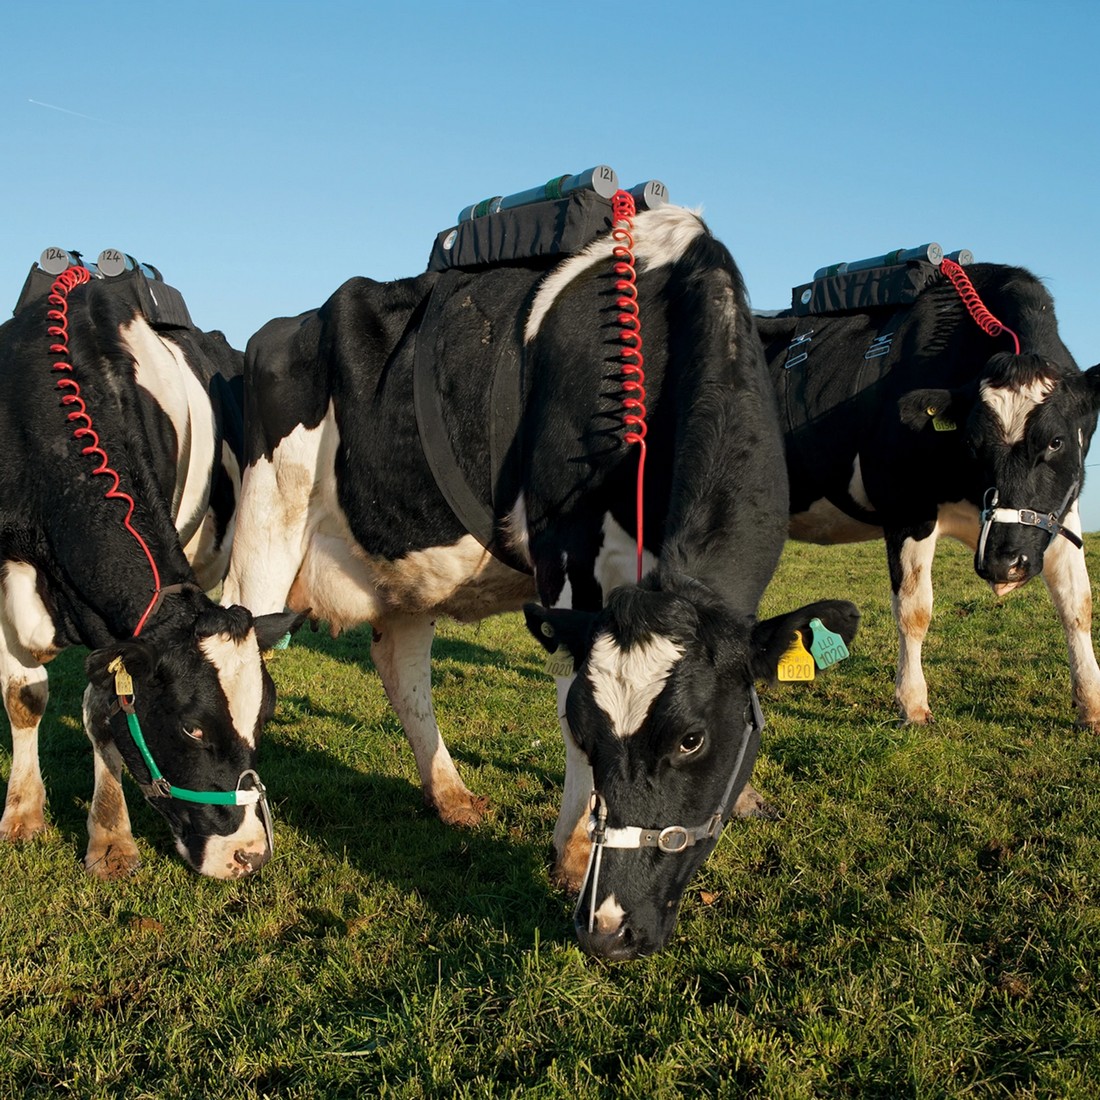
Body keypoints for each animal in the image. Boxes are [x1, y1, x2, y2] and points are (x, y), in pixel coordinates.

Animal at [0, 264, 299, 879]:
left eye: (264, 718)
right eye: (190, 726)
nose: (249, 855)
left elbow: (102, 710)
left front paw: (111, 839)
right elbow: (24, 696)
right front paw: (22, 814)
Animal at [223, 201, 859, 958]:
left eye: (692, 738)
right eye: (594, 731)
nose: (609, 930)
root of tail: (280, 327)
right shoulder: (566, 557)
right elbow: (565, 699)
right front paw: (575, 852)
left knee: (400, 663)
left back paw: (451, 796)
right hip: (266, 523)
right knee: (227, 649)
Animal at [755, 259, 1100, 729]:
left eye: (1055, 442)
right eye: (972, 442)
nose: (1003, 562)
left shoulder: (1059, 514)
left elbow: (1077, 604)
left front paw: (1090, 703)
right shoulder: (907, 509)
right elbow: (914, 609)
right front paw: (913, 703)